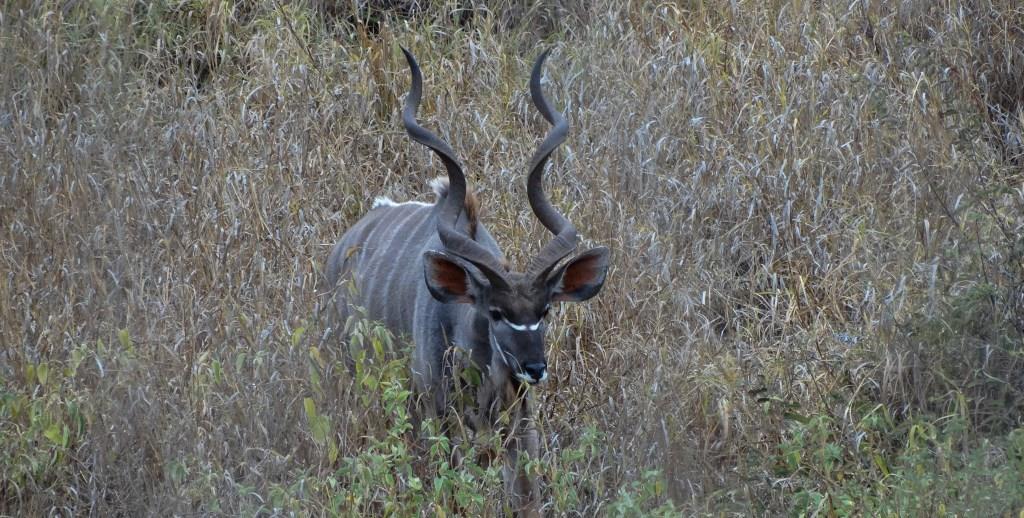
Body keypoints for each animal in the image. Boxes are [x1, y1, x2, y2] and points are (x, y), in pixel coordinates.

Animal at [327, 49, 606, 513]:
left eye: (546, 310)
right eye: (495, 312)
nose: (534, 368)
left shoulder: (521, 423)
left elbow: (526, 497)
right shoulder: (440, 416)